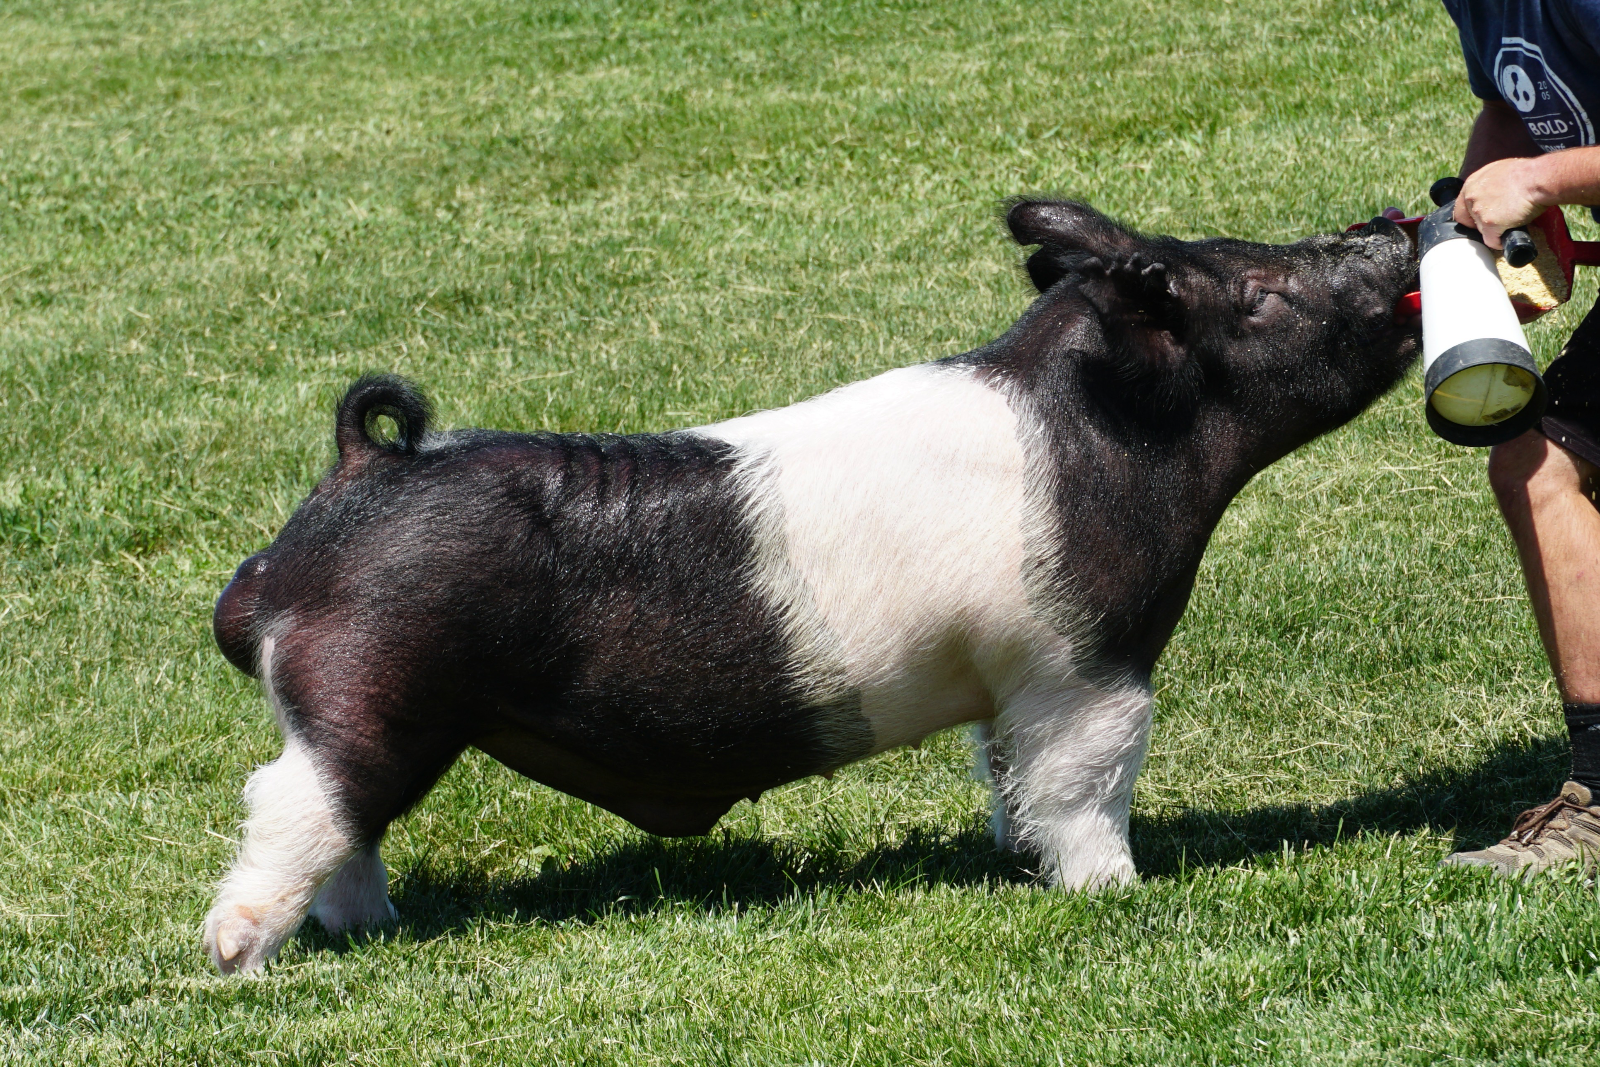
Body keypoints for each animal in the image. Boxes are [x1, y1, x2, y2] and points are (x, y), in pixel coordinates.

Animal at [203, 201, 1418, 973]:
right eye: (1259, 290)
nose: (1392, 222)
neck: (1110, 437)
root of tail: (355, 477)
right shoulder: (1087, 663)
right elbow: (1088, 785)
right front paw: (1118, 893)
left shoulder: (1010, 682)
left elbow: (1008, 775)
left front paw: (1015, 857)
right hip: (374, 683)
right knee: (294, 803)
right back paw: (240, 956)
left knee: (349, 830)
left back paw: (368, 931)